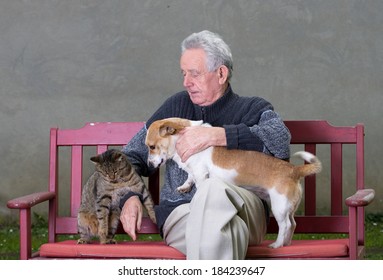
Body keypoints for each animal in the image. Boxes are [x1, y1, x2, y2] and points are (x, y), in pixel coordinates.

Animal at [146, 117, 322, 248]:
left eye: (152, 146)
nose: (149, 164)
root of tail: (294, 170)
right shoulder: (192, 170)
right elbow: (189, 177)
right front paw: (185, 186)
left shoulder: (201, 173)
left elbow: (198, 185)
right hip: (287, 207)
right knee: (292, 224)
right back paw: (286, 243)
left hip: (279, 206)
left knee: (285, 225)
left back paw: (277, 244)